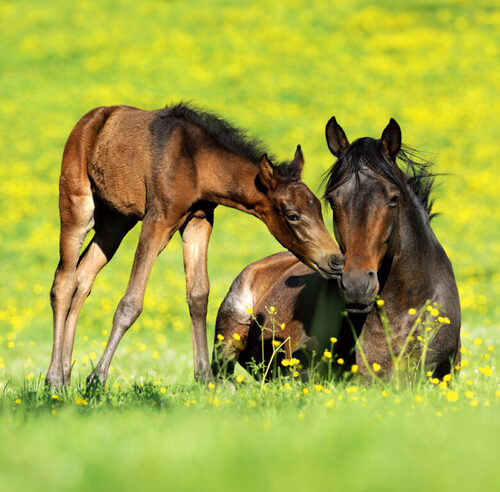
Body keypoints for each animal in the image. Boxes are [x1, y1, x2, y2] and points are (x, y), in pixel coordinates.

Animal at [47, 104, 342, 388]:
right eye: (292, 215)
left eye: (320, 206)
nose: (336, 260)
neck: (194, 161)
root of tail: (91, 119)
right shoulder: (157, 220)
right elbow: (131, 302)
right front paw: (97, 378)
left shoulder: (198, 220)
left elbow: (198, 295)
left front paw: (205, 377)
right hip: (78, 206)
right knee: (63, 281)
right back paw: (54, 380)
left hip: (115, 221)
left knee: (83, 278)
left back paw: (66, 376)